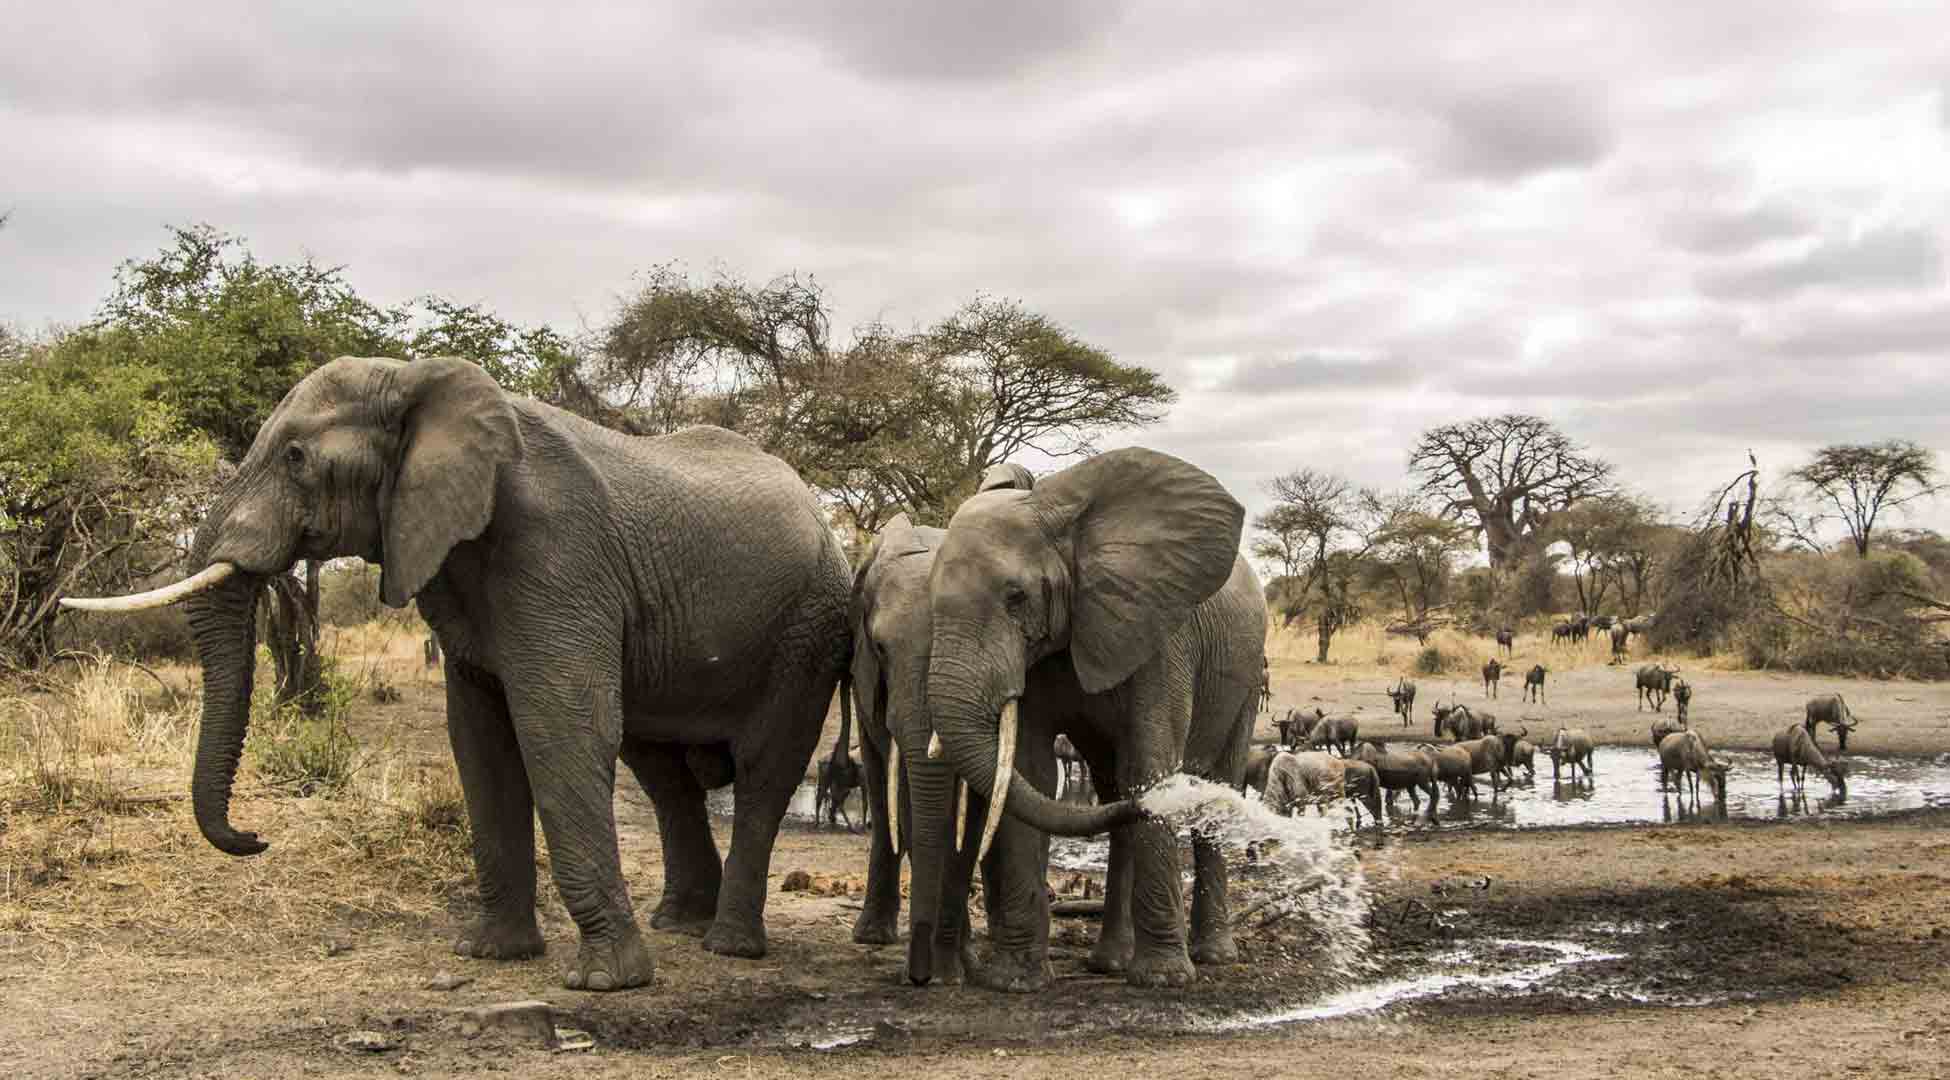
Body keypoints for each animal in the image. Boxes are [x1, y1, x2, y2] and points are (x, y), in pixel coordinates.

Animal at [64, 352, 846, 982]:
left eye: (293, 457)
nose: (254, 838)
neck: (415, 379)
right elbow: (479, 742)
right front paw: (492, 955)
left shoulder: (559, 553)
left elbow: (560, 728)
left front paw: (606, 983)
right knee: (659, 770)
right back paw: (679, 926)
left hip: (810, 628)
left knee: (765, 769)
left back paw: (727, 946)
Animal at [924, 450, 1271, 986]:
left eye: (1016, 598)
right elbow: (1031, 770)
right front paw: (1015, 981)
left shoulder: (1161, 633)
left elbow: (1151, 761)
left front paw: (1164, 980)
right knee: (1115, 791)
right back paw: (1110, 962)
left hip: (1249, 673)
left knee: (1217, 780)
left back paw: (1211, 955)